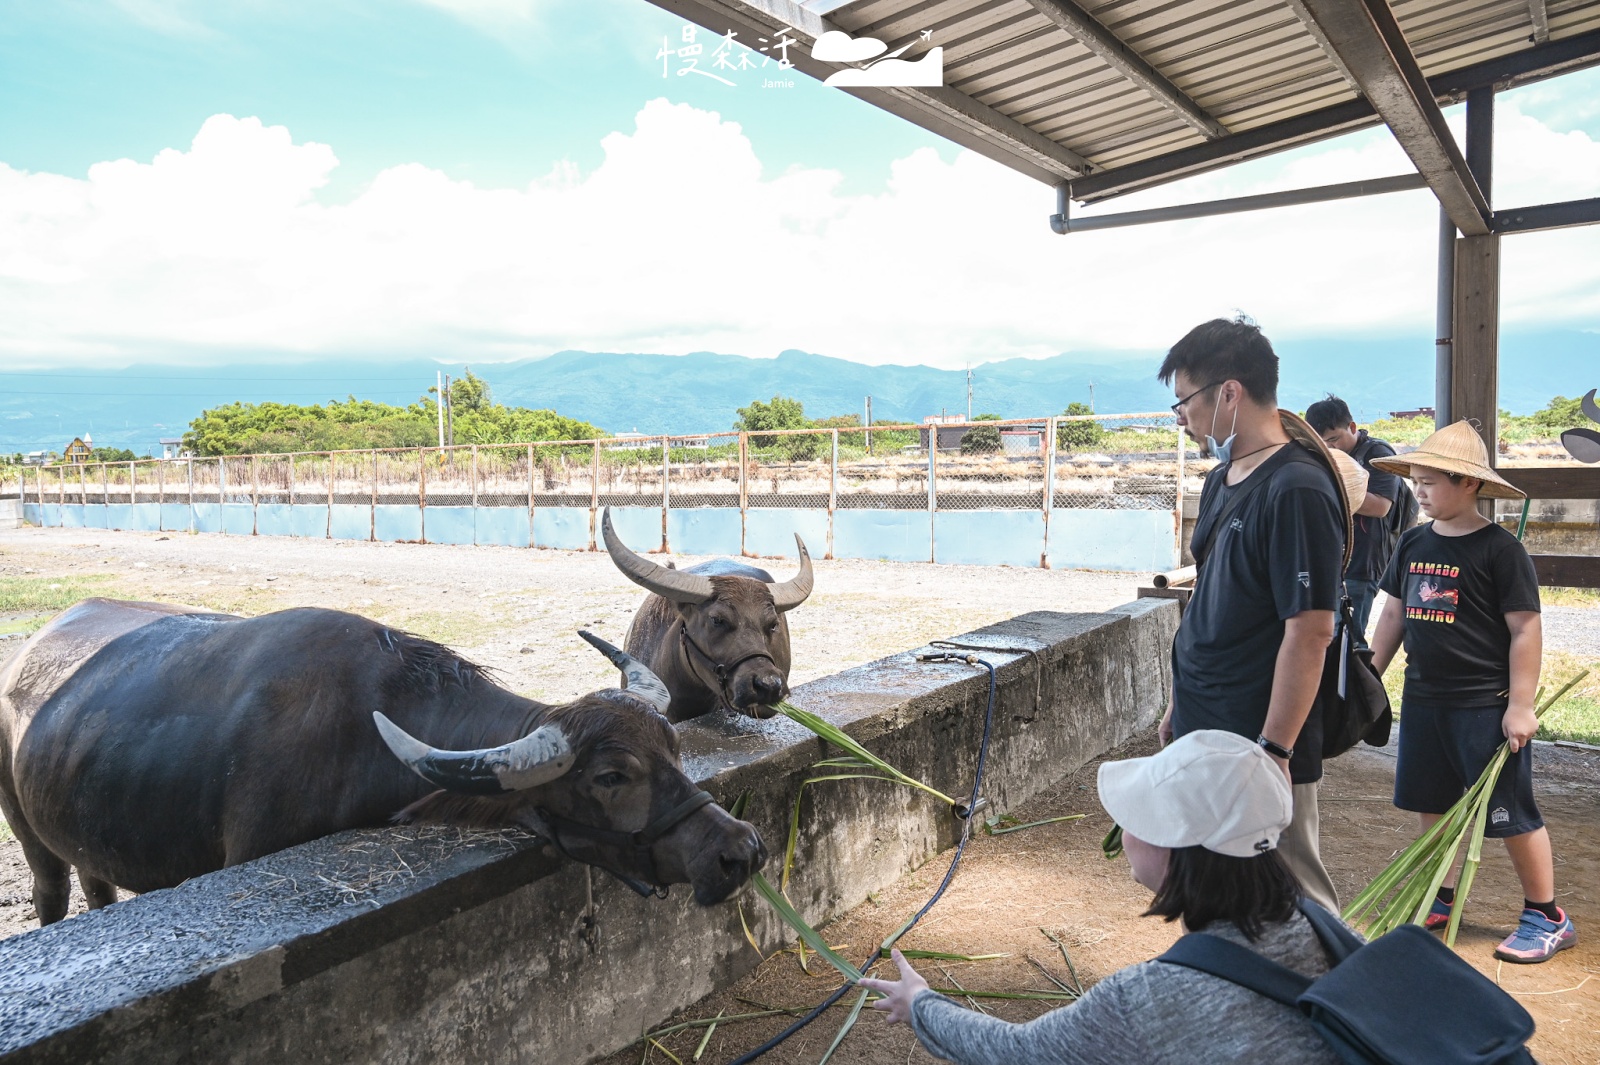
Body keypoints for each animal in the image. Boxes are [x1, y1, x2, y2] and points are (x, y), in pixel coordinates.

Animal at [0, 598, 768, 921]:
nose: (742, 850)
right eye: (611, 777)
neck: (356, 736)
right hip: (28, 835)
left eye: (672, 749)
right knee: (52, 890)